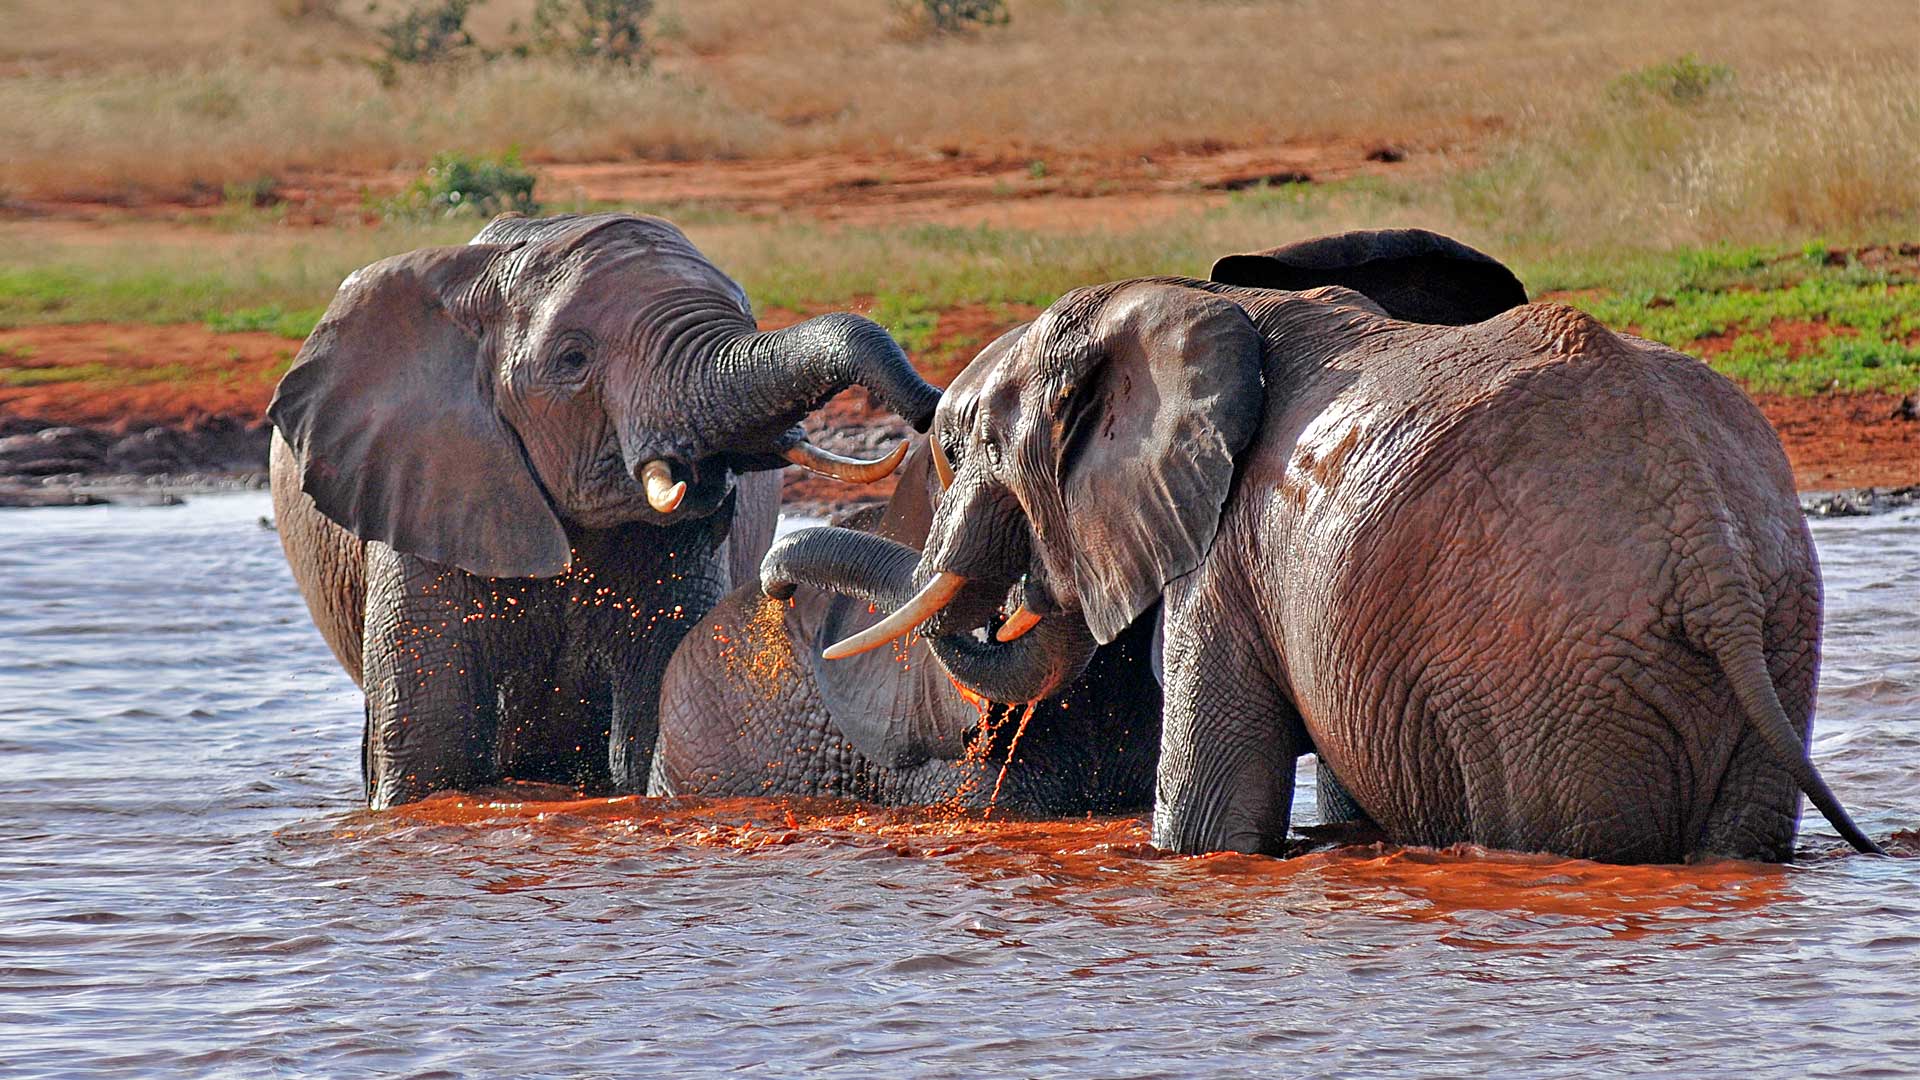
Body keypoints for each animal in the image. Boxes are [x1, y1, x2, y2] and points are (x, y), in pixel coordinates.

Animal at [269, 211, 939, 808]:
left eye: (748, 319)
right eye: (573, 360)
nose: (930, 410)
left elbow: (651, 704)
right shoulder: (428, 485)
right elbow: (432, 742)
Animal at [761, 228, 1883, 863]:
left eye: (955, 447)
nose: (773, 583)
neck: (1191, 305)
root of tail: (1711, 557)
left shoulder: (1226, 554)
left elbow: (1208, 823)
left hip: (1554, 675)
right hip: (1776, 631)